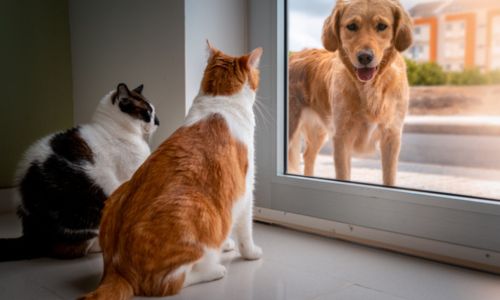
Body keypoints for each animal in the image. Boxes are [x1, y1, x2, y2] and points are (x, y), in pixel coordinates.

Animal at [82, 42, 264, 300]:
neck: (219, 100)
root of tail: (117, 268)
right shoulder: (245, 189)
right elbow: (245, 229)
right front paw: (250, 252)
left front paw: (226, 244)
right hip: (194, 210)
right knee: (168, 283)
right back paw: (213, 270)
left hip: (116, 195)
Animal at [288, 0, 412, 185]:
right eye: (352, 26)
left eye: (382, 26)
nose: (365, 57)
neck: (369, 87)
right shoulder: (341, 138)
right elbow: (343, 175)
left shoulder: (392, 136)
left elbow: (389, 178)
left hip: (318, 130)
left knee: (308, 155)